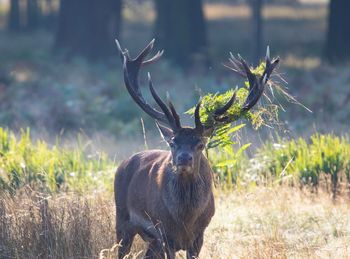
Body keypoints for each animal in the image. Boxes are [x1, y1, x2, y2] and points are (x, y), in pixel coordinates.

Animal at [114, 39, 278, 259]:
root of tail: (124, 163)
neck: (185, 219)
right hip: (122, 219)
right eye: (172, 143)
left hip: (151, 239)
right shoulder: (164, 232)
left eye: (200, 144)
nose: (184, 159)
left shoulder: (200, 234)